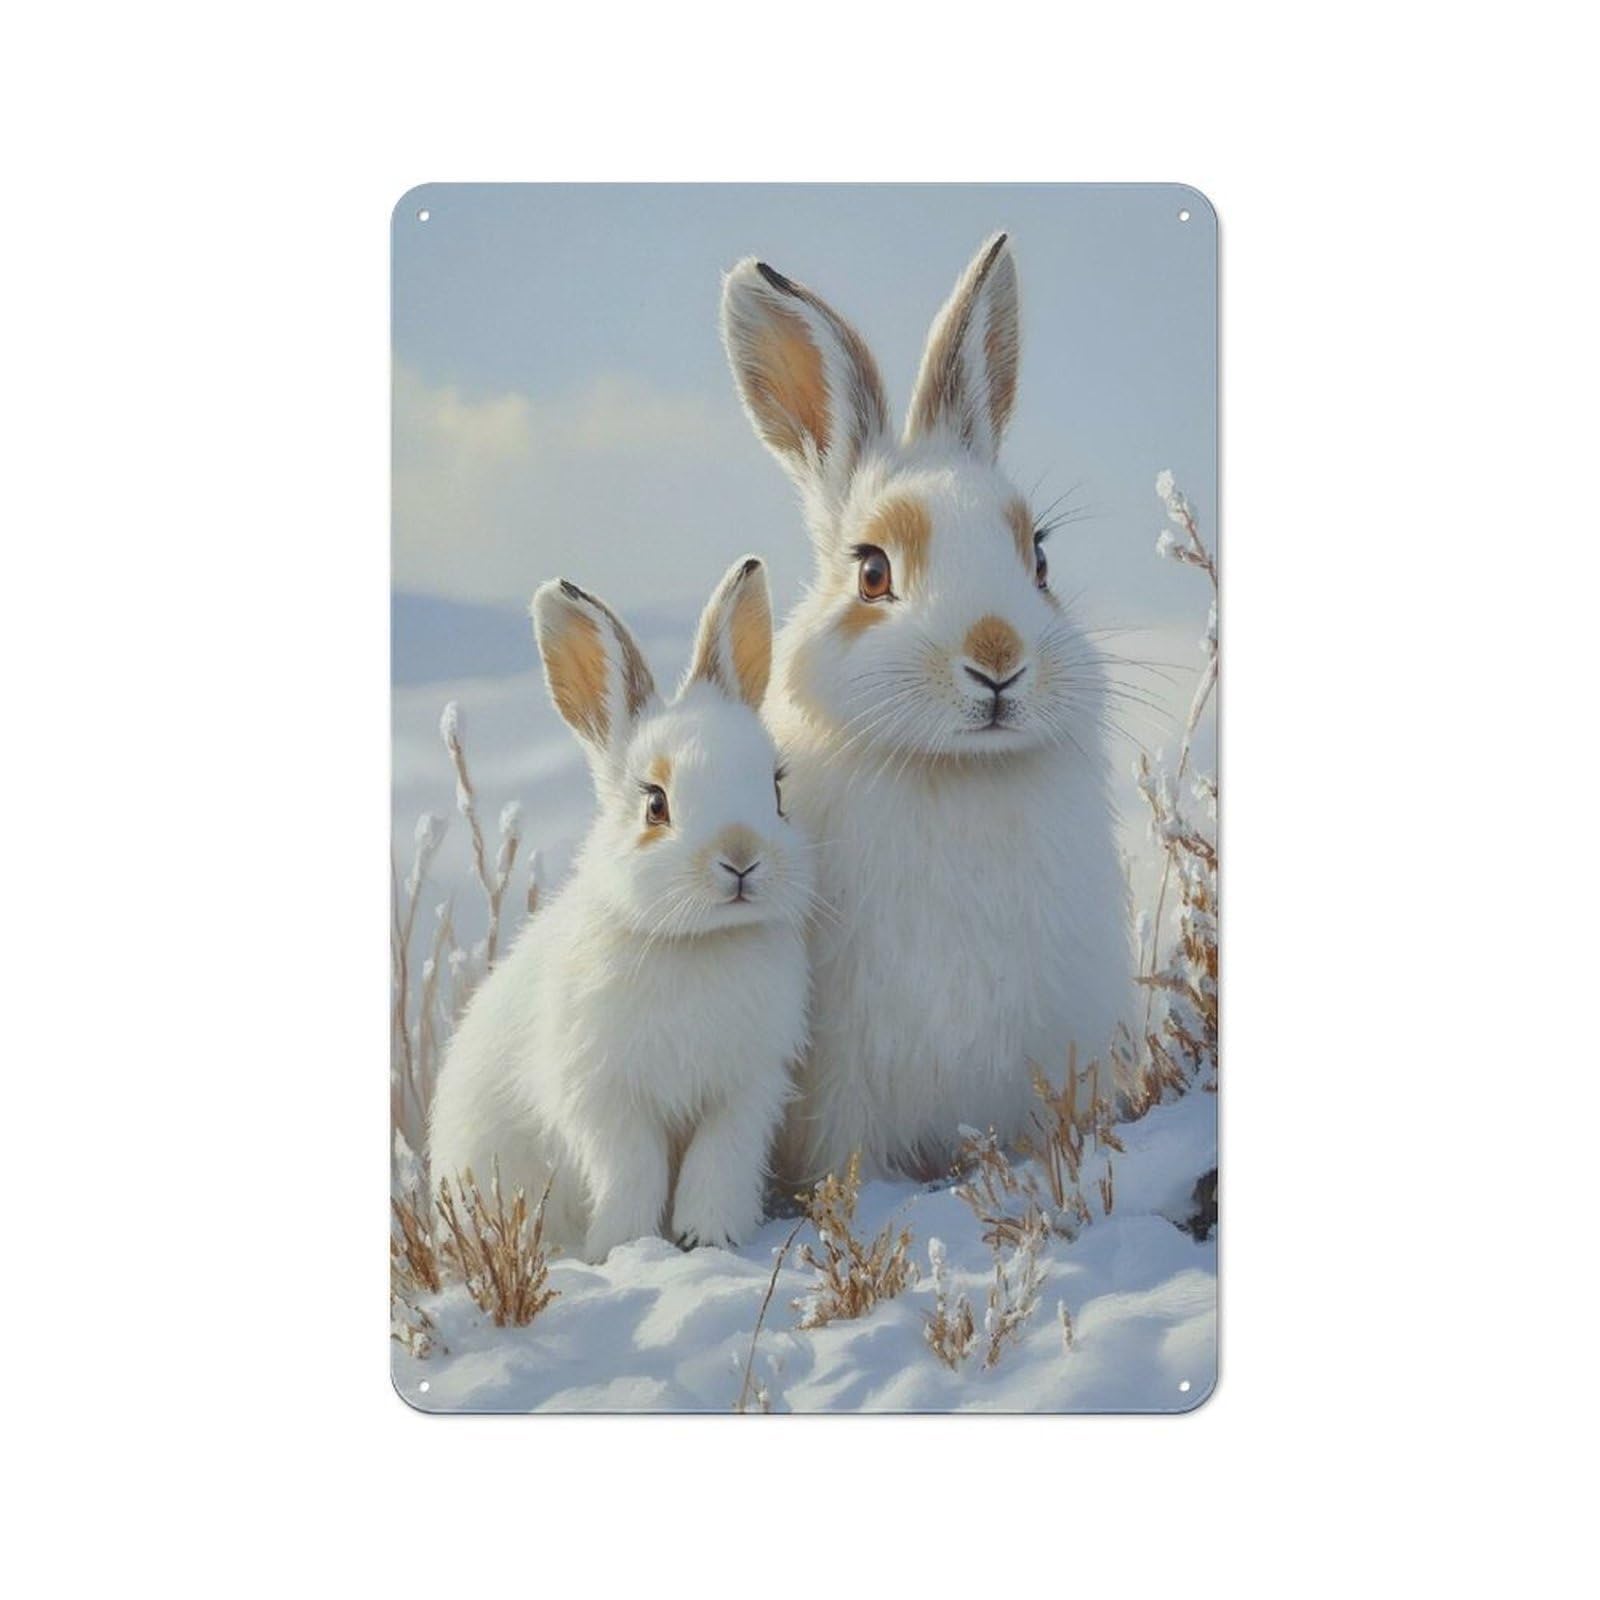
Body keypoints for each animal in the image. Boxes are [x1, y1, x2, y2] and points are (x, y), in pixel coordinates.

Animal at [427, 556, 813, 1263]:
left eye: (775, 789)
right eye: (655, 804)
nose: (741, 859)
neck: (697, 942)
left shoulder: (743, 1093)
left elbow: (717, 1163)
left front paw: (709, 1238)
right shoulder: (604, 1098)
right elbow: (633, 1168)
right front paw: (625, 1249)